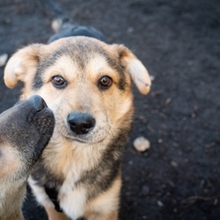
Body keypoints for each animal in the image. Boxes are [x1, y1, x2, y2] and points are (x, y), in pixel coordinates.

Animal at [3, 0, 151, 219]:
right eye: (58, 80)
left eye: (105, 81)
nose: (81, 124)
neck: (73, 158)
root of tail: (71, 25)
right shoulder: (51, 205)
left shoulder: (106, 208)